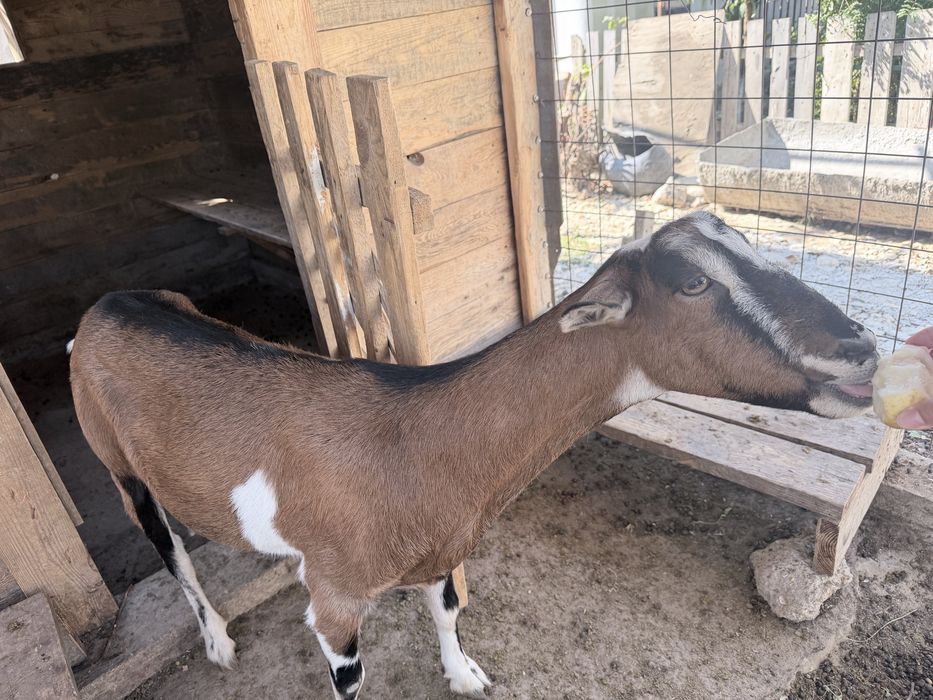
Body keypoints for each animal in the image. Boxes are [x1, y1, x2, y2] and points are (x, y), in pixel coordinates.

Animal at [70, 212, 878, 699]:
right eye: (693, 282)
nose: (862, 348)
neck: (417, 440)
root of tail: (104, 308)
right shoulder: (333, 602)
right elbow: (349, 672)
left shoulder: (439, 550)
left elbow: (449, 611)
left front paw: (465, 676)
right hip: (115, 462)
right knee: (169, 546)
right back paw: (216, 642)